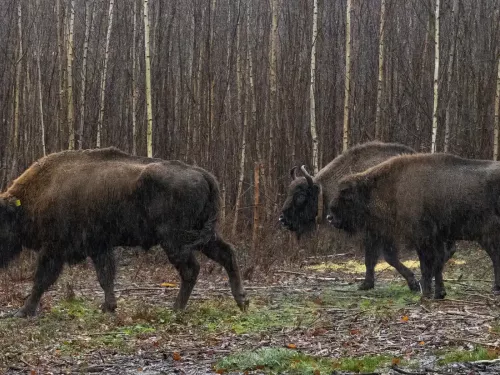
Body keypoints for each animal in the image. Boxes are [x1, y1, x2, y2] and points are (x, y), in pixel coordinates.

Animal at [0, 147, 248, 318]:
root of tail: (204, 175)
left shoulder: (54, 249)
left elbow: (42, 279)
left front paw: (23, 311)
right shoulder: (99, 247)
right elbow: (105, 276)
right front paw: (108, 307)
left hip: (175, 240)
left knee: (191, 269)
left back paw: (176, 308)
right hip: (202, 236)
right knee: (227, 254)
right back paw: (242, 301)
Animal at [326, 153, 498, 300]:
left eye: (346, 197)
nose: (330, 217)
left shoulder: (420, 237)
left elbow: (426, 263)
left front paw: (425, 290)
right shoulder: (383, 234)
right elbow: (379, 259)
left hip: (486, 235)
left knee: (494, 256)